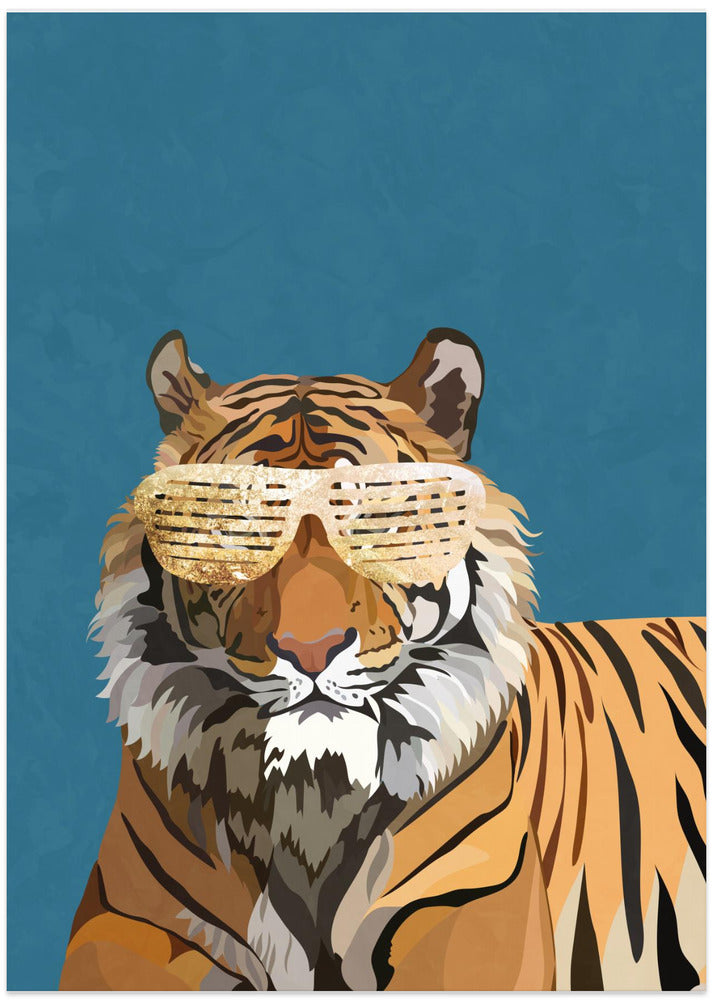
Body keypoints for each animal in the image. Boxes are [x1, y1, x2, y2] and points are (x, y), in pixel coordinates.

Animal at [60, 328, 705, 991]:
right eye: (245, 523)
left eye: (374, 519)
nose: (310, 651)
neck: (312, 798)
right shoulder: (125, 917)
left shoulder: (468, 900)